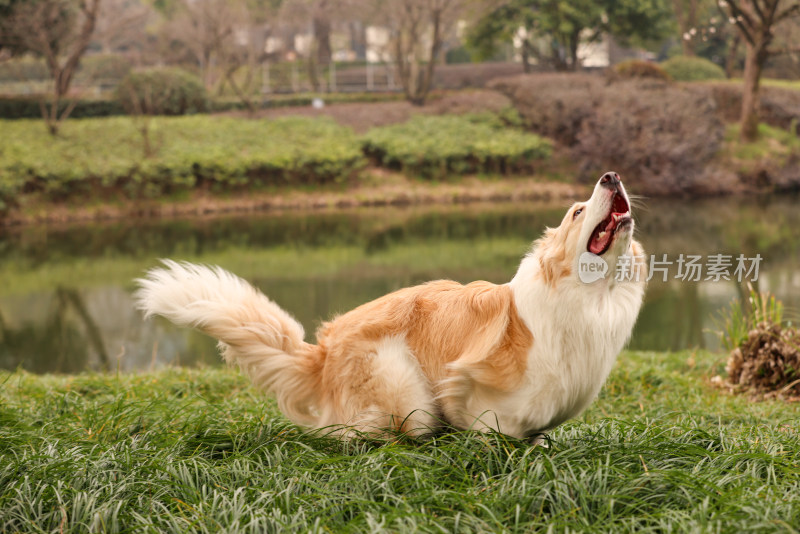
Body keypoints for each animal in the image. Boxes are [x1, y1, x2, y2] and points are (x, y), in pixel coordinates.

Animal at [136, 174, 644, 442]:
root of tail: (322, 354)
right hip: (405, 389)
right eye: (577, 212)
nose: (611, 176)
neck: (593, 298)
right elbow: (490, 423)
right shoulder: (468, 385)